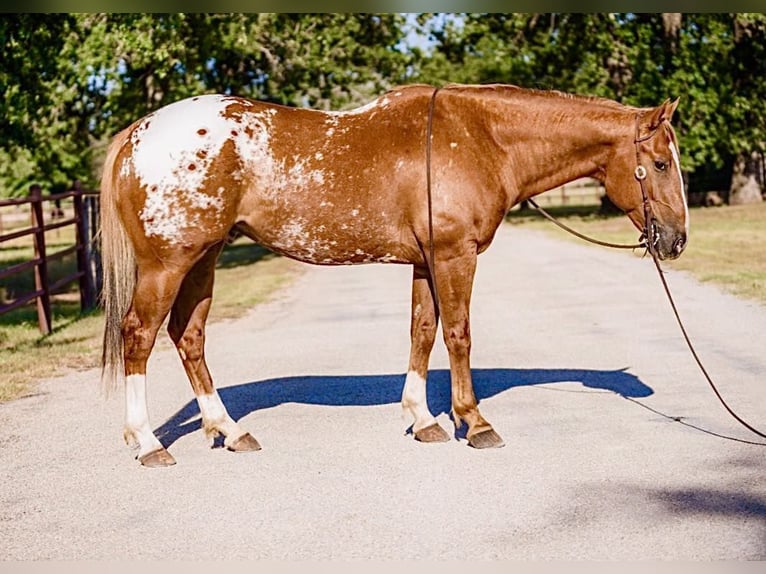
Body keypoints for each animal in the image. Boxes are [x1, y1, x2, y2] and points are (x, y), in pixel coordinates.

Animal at [99, 82, 688, 468]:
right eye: (660, 164)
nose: (676, 239)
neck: (481, 137)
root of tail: (137, 133)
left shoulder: (427, 262)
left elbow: (422, 333)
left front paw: (424, 420)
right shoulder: (454, 256)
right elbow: (458, 334)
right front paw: (473, 422)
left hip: (203, 260)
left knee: (188, 336)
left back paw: (229, 430)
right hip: (168, 264)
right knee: (140, 336)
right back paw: (148, 443)